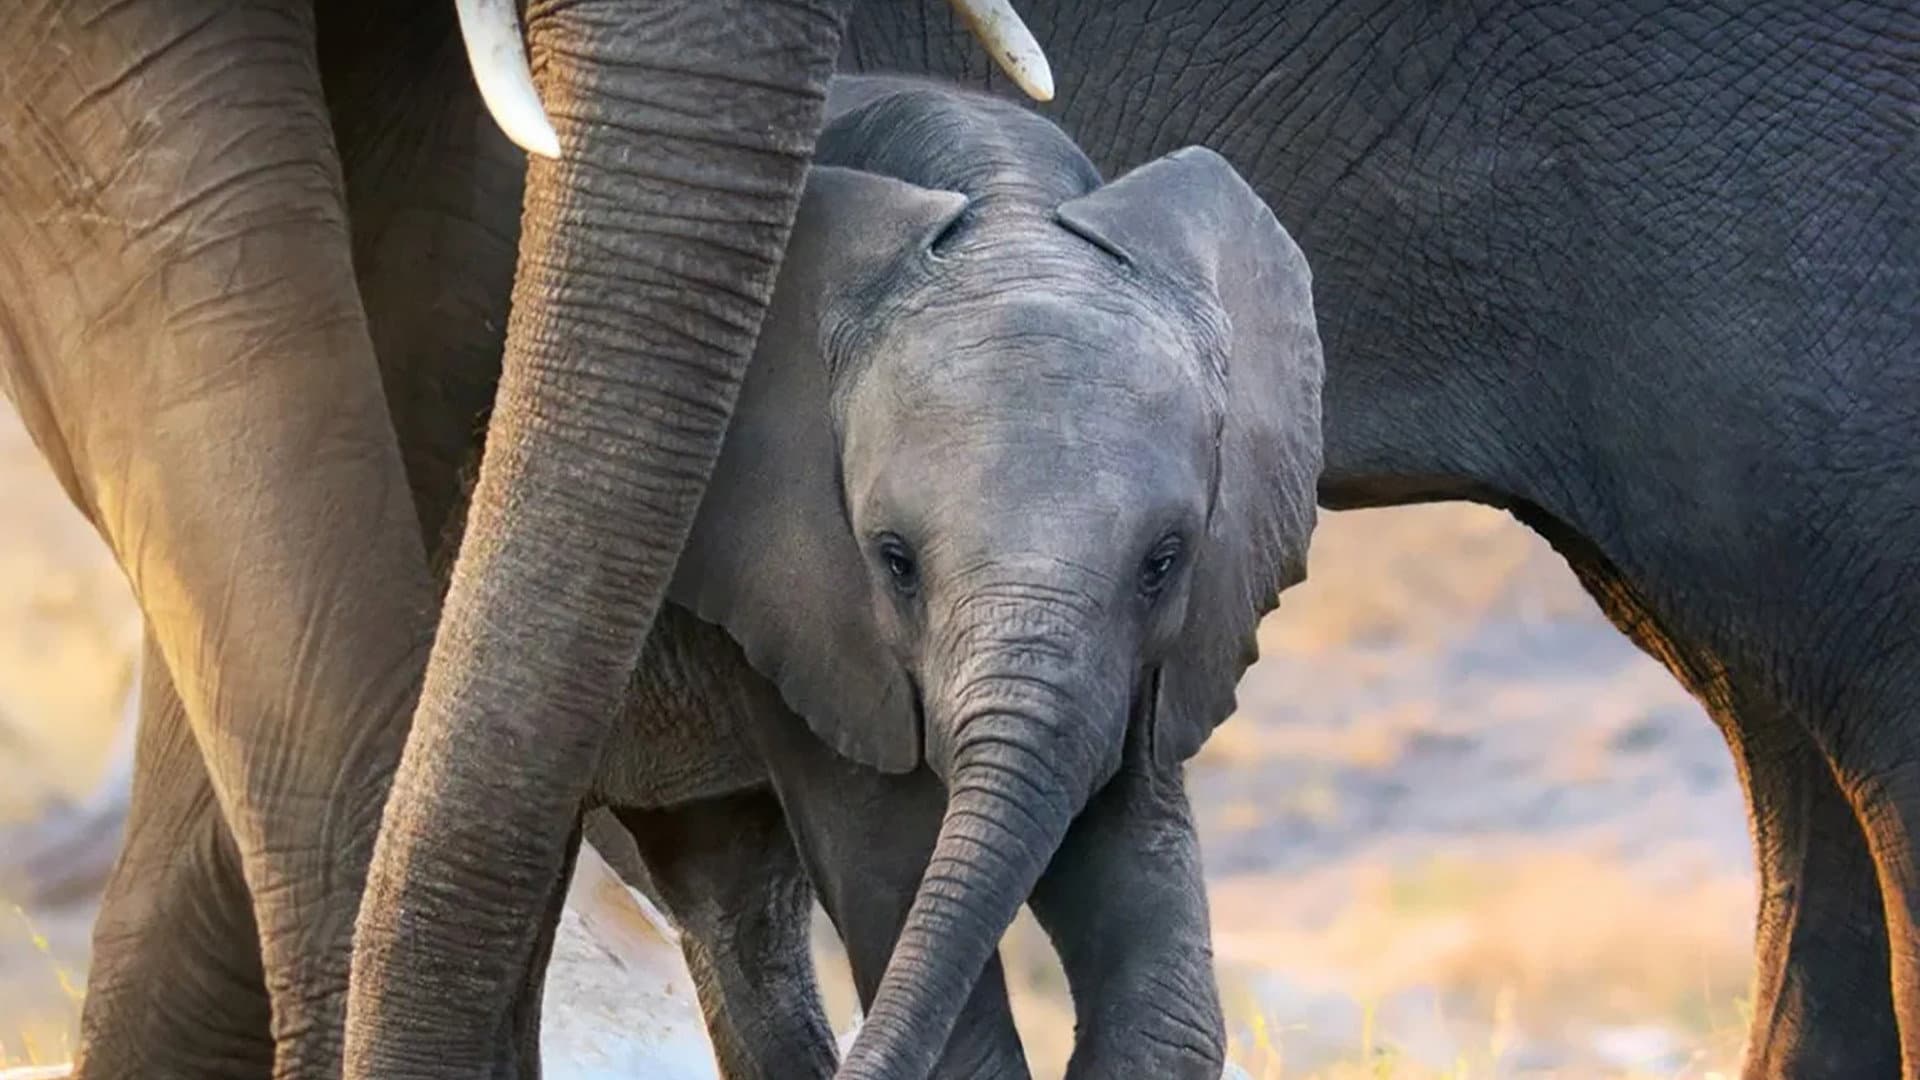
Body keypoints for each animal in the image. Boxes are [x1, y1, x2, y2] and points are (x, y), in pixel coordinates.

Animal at [352, 4, 1919, 1080]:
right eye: (893, 561)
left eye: (1166, 560)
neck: (999, 197)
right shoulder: (799, 592)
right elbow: (901, 865)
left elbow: (1139, 922)